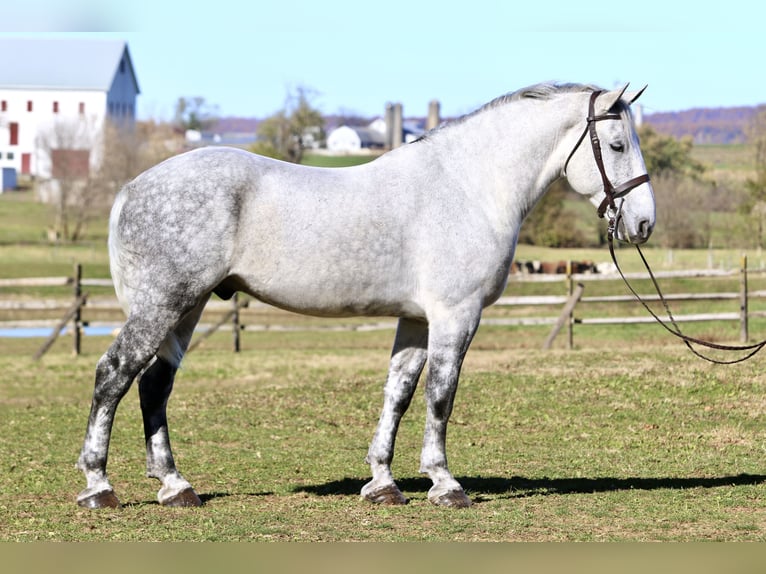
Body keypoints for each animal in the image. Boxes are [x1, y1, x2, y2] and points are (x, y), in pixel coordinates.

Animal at [76, 83, 655, 509]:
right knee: (113, 374)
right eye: (618, 145)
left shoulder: (417, 319)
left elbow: (398, 393)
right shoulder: (455, 316)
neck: (468, 187)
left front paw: (383, 483)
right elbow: (441, 396)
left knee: (154, 386)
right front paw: (446, 485)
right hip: (163, 305)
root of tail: (132, 187)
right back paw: (99, 487)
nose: (644, 222)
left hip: (187, 308)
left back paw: (176, 487)